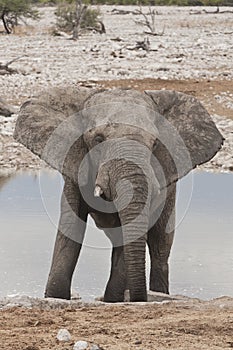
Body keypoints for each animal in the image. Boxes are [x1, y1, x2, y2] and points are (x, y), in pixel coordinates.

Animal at [13, 86, 223, 302]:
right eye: (98, 139)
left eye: (156, 144)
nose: (139, 298)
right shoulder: (75, 166)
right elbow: (71, 226)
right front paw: (56, 297)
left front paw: (112, 300)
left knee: (160, 246)